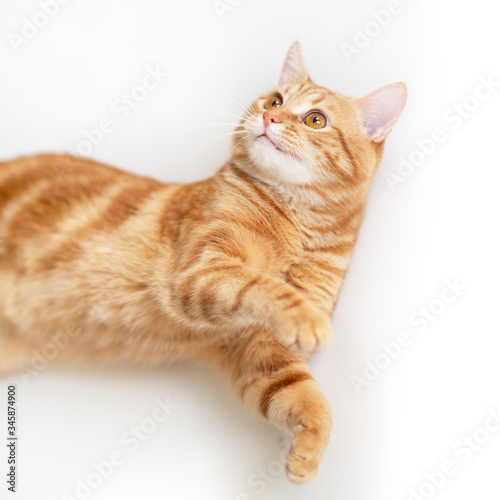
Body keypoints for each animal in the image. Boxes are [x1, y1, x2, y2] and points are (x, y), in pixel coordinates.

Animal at [0, 44, 406, 484]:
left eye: (316, 119)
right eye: (275, 101)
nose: (271, 118)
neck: (297, 228)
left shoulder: (259, 351)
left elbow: (304, 395)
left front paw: (309, 451)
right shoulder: (201, 270)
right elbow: (261, 285)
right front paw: (305, 319)